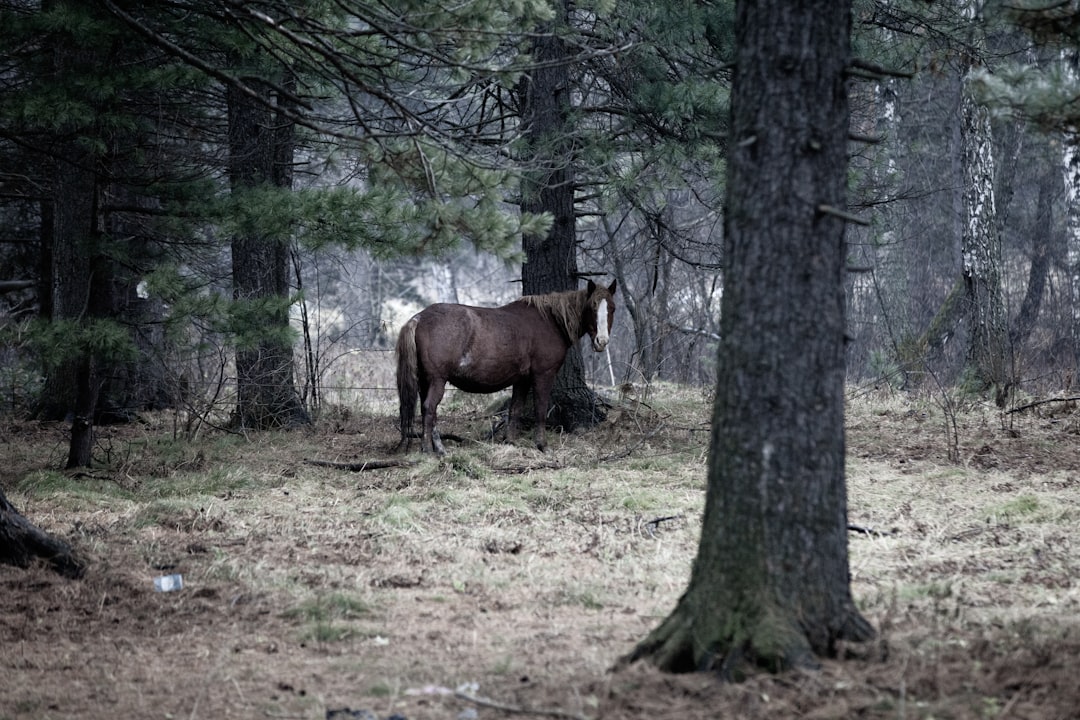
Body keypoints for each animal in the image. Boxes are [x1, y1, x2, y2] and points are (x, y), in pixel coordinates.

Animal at [395, 278, 617, 453]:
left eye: (612, 308)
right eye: (592, 306)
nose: (602, 341)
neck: (550, 321)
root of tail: (419, 318)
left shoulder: (522, 380)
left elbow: (515, 409)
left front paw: (510, 442)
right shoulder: (543, 375)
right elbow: (540, 409)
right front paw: (542, 445)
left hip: (425, 381)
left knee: (426, 410)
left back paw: (437, 447)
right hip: (437, 380)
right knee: (429, 408)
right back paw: (429, 449)